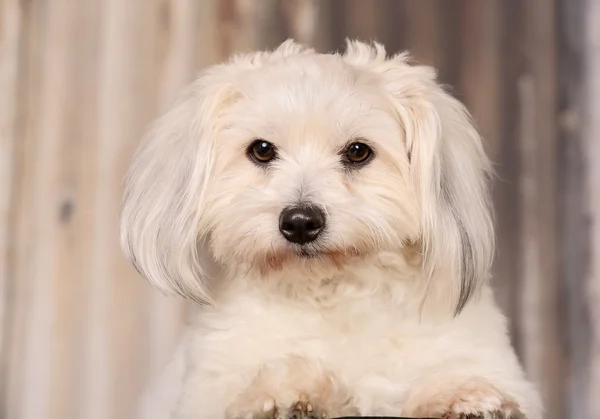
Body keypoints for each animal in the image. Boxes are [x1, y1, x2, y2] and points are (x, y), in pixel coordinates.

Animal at [119, 40, 540, 419]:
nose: (300, 222)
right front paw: (291, 394)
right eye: (261, 150)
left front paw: (462, 399)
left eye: (357, 152)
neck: (329, 292)